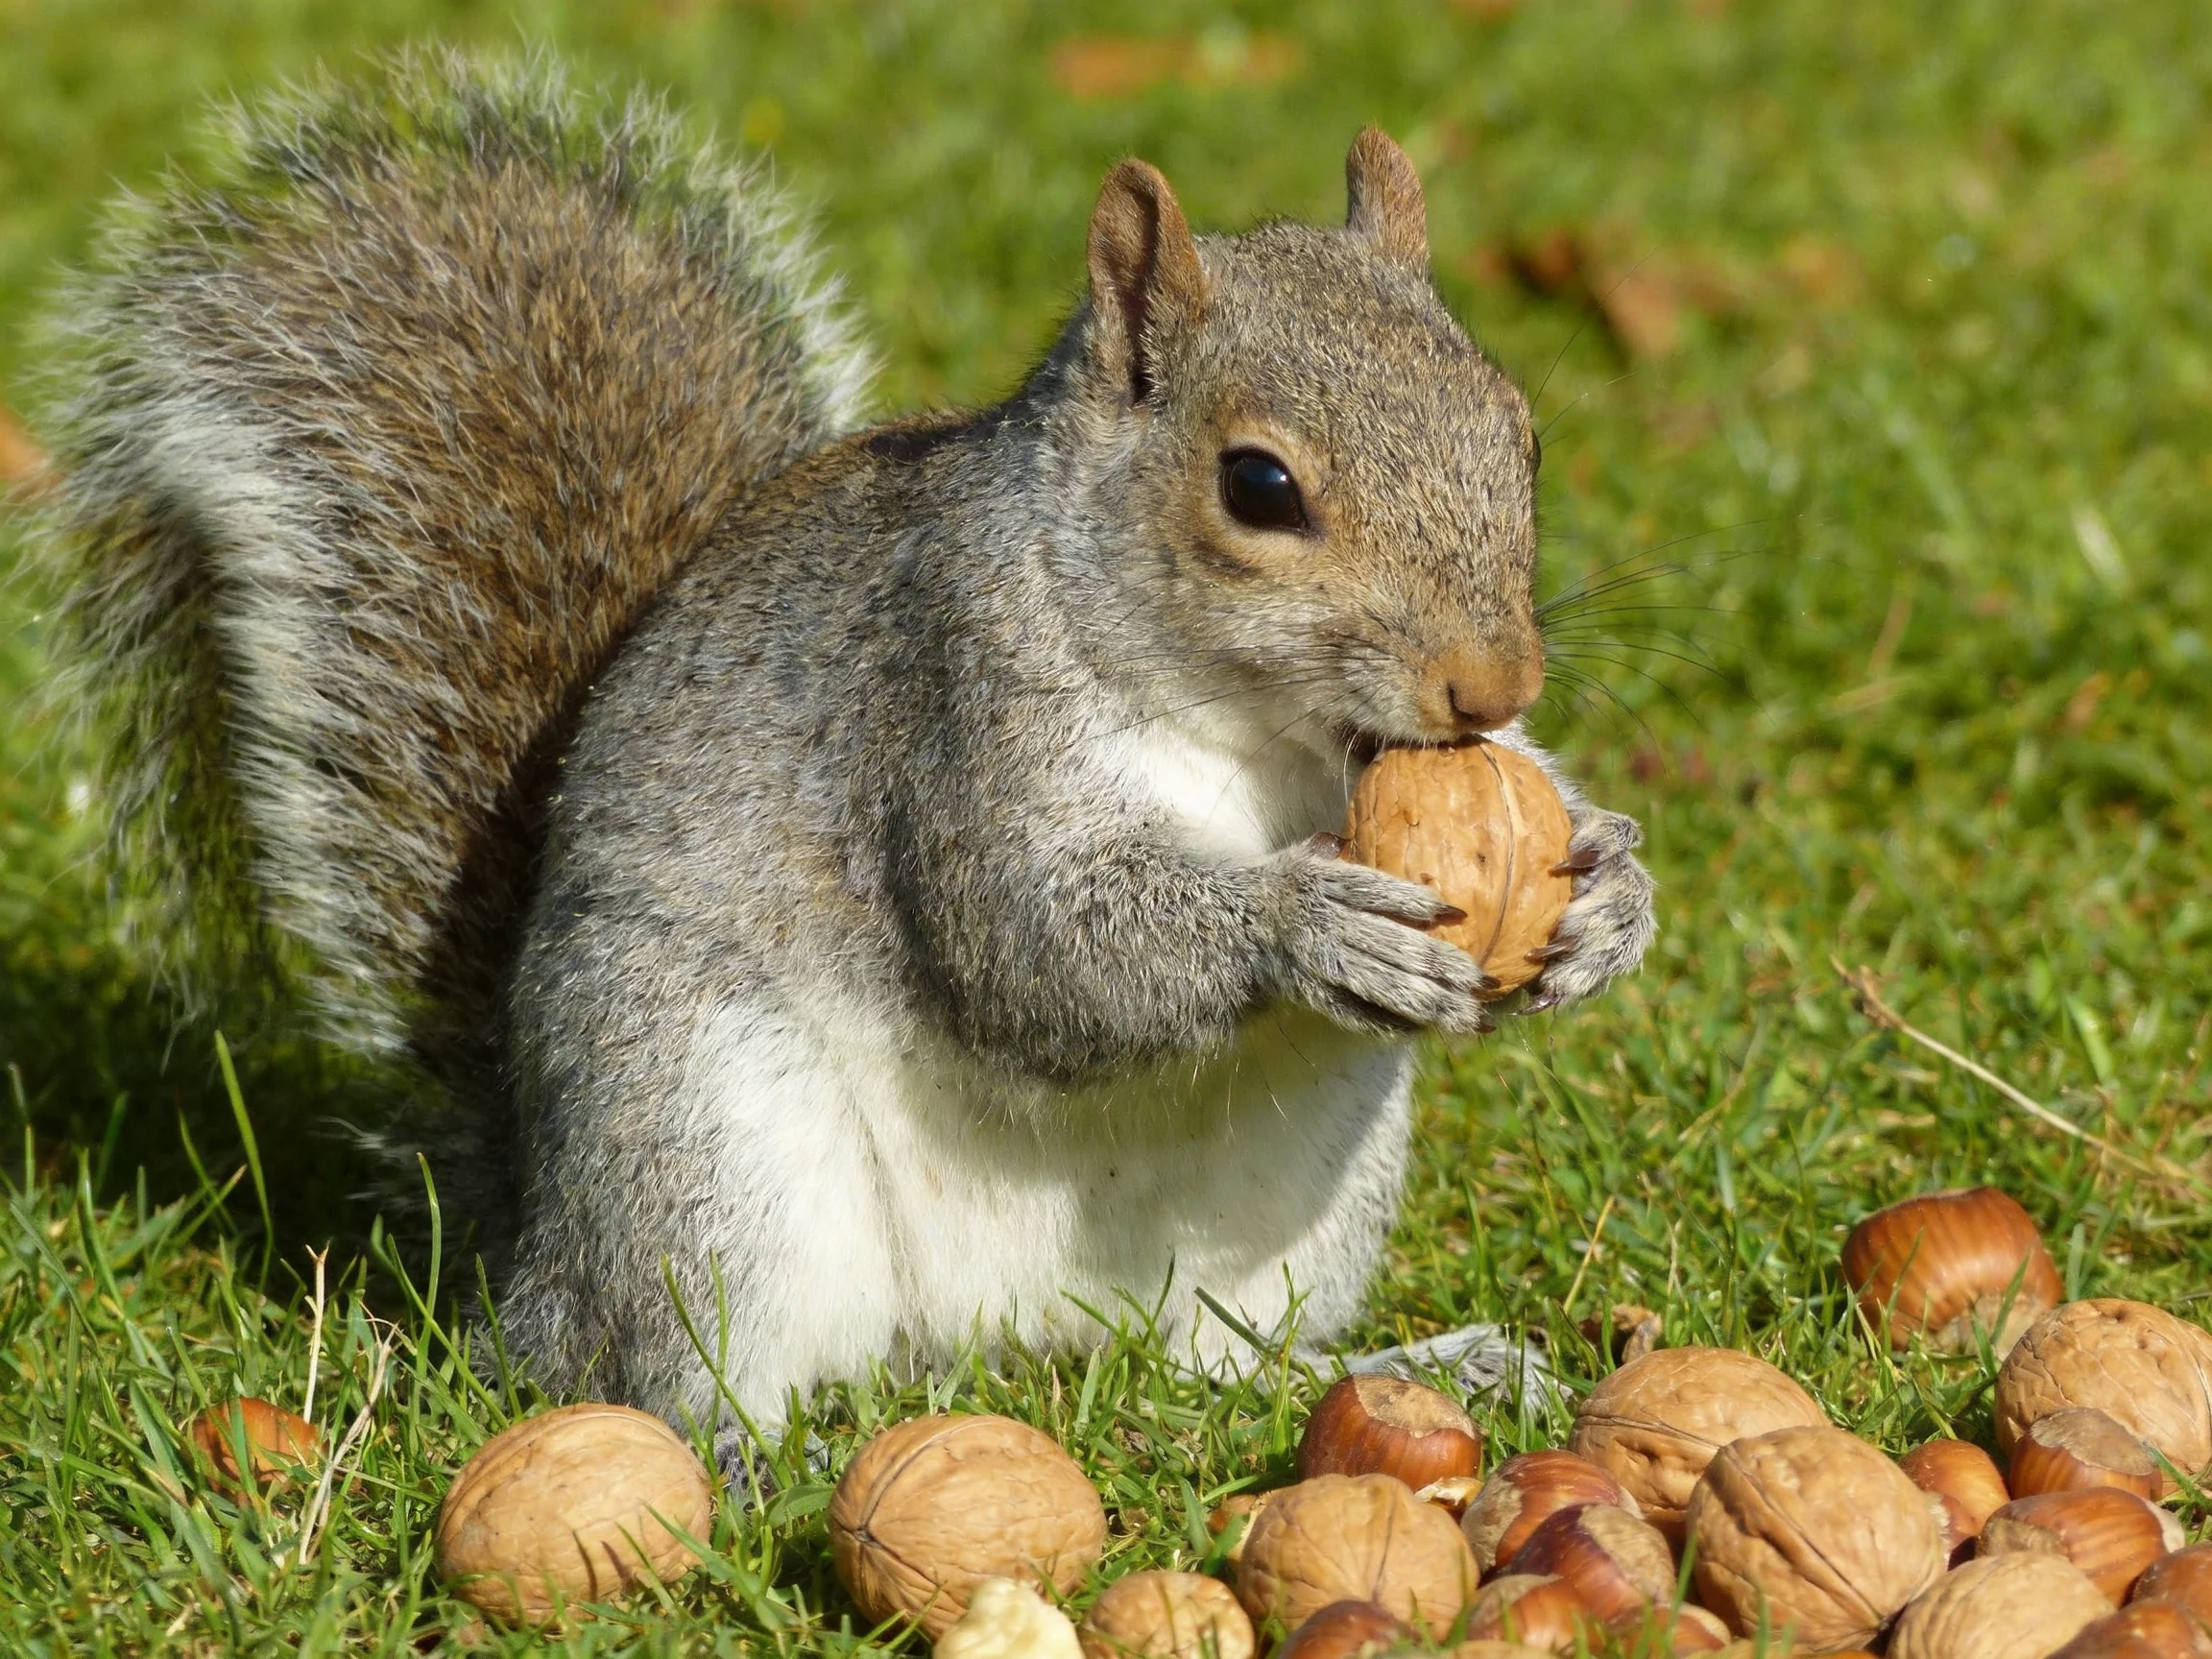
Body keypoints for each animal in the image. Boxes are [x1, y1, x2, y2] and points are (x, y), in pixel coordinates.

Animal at [34, 51, 1656, 1433]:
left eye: (1518, 430)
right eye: (1258, 486)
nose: (1492, 684)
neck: (1268, 732)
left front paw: (1608, 891)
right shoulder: (939, 709)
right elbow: (1035, 942)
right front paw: (1303, 921)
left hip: (1291, 1208)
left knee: (1208, 1370)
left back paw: (1402, 1368)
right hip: (703, 1142)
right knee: (670, 1380)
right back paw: (755, 1472)